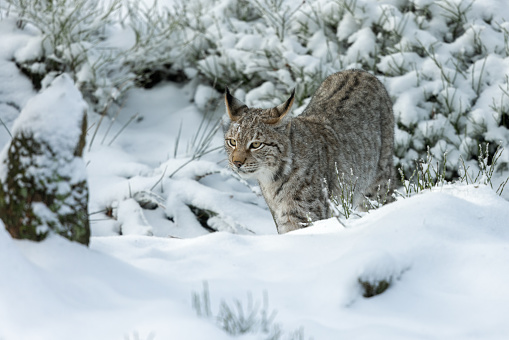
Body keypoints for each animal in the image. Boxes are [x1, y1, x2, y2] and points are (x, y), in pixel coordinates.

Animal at [222, 69, 392, 234]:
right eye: (232, 142)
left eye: (256, 144)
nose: (236, 163)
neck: (274, 177)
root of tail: (360, 71)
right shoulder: (282, 218)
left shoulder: (303, 216)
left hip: (379, 183)